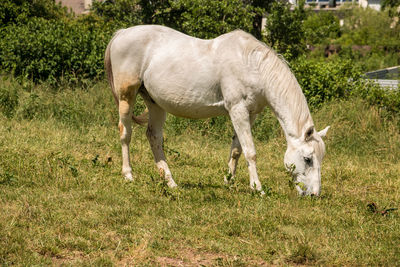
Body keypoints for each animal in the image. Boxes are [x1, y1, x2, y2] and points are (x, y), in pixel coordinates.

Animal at [104, 25, 330, 197]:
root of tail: (121, 33)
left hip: (155, 103)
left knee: (154, 137)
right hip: (127, 97)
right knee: (126, 133)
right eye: (308, 159)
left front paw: (228, 182)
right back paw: (128, 175)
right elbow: (250, 152)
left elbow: (237, 149)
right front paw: (257, 189)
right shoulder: (237, 110)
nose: (314, 194)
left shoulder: (250, 114)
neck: (252, 65)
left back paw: (170, 182)